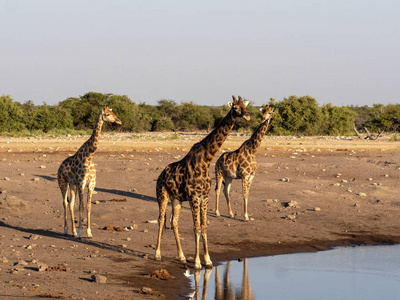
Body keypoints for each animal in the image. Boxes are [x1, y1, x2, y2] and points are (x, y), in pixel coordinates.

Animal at [56, 106, 120, 238]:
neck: (89, 155)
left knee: (71, 204)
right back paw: (66, 230)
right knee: (65, 203)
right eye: (107, 114)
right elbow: (81, 206)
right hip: (62, 183)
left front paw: (89, 232)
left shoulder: (91, 184)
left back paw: (74, 232)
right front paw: (81, 232)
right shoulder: (82, 183)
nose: (119, 121)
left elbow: (88, 206)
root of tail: (59, 167)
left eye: (113, 112)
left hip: (72, 185)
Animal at [155, 95, 248, 270]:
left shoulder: (205, 197)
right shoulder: (194, 197)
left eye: (245, 106)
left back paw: (182, 257)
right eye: (235, 107)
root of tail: (160, 175)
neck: (205, 161)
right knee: (161, 220)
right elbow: (196, 228)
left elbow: (204, 227)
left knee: (173, 222)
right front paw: (198, 263)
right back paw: (157, 254)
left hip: (176, 199)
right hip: (162, 195)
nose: (247, 116)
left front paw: (208, 260)